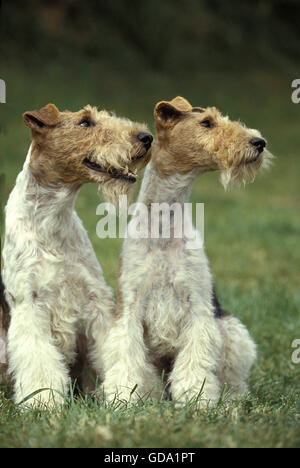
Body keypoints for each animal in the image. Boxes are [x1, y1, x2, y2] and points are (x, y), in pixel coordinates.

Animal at [2, 101, 152, 406]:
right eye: (85, 122)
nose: (146, 137)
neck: (52, 221)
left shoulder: (96, 300)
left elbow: (111, 350)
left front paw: (121, 393)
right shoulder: (29, 304)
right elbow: (39, 362)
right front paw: (43, 402)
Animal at [101, 97, 272, 408]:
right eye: (206, 123)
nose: (258, 142)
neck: (163, 226)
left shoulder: (198, 307)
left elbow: (195, 364)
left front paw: (197, 401)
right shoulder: (130, 306)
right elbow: (127, 358)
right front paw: (122, 399)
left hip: (232, 331)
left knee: (234, 378)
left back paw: (232, 400)